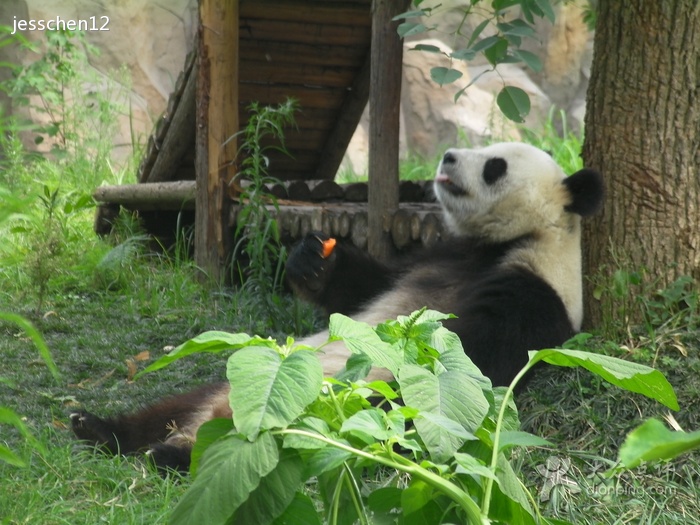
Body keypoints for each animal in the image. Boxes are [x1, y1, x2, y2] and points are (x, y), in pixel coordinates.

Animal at [71, 142, 600, 470]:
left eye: (495, 166)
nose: (448, 156)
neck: (510, 241)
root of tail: (213, 417)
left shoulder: (534, 292)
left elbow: (467, 364)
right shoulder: (436, 255)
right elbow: (361, 291)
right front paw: (312, 259)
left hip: (331, 409)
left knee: (285, 436)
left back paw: (173, 455)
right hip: (244, 374)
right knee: (171, 405)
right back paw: (98, 428)